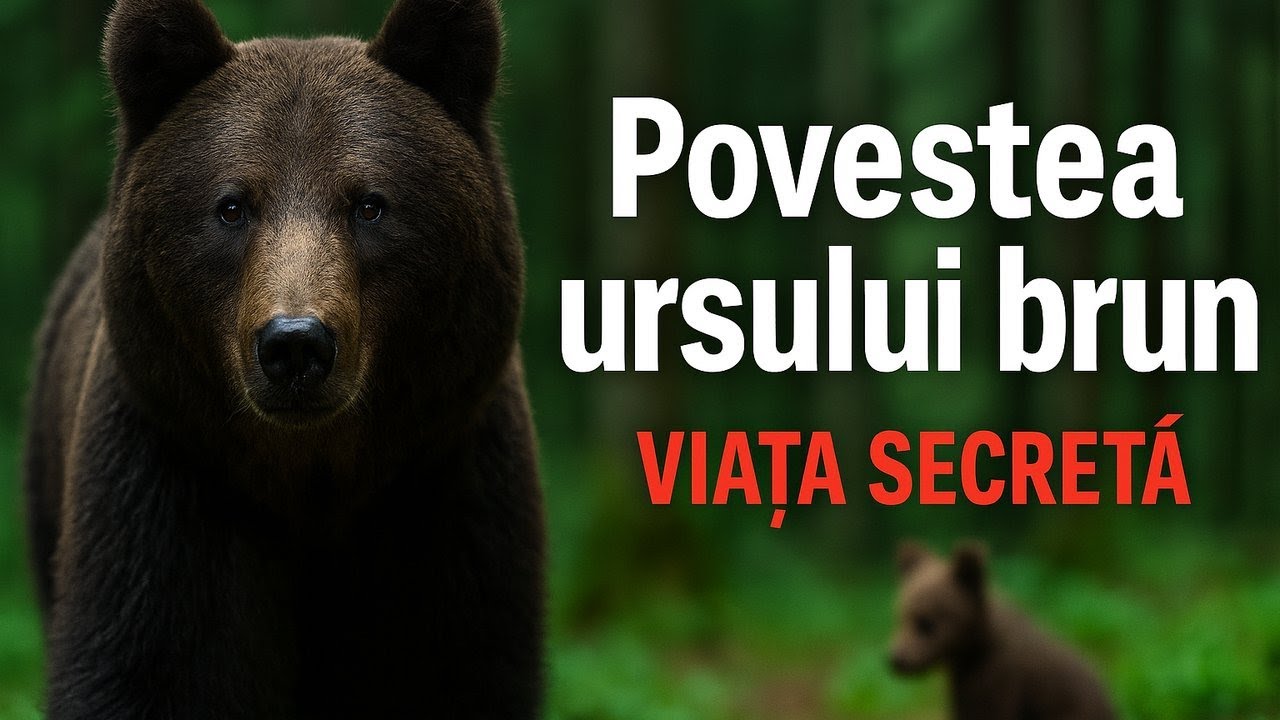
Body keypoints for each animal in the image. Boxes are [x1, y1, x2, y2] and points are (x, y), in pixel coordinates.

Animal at [22, 0, 545, 718]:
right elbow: (148, 667)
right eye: (232, 205)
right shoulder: (170, 487)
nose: (295, 343)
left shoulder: (443, 492)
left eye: (369, 203)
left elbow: (454, 666)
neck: (310, 481)